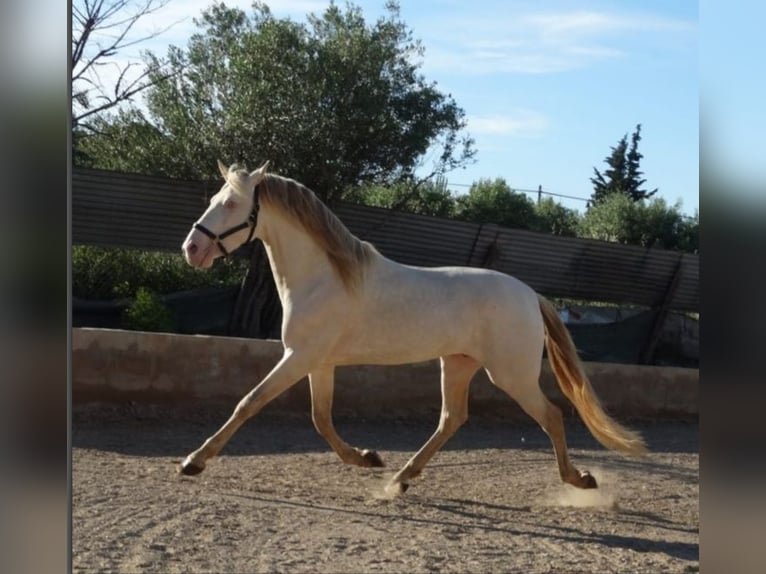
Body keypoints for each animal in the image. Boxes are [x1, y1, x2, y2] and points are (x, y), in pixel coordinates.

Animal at [180, 160, 648, 498]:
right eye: (215, 198)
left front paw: (193, 461)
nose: (192, 249)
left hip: (510, 374)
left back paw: (579, 479)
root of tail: (532, 296)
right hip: (457, 364)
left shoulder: (299, 357)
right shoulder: (318, 362)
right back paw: (400, 477)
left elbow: (249, 403)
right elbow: (321, 418)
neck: (324, 277)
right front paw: (368, 458)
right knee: (451, 419)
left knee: (550, 415)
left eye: (232, 204)